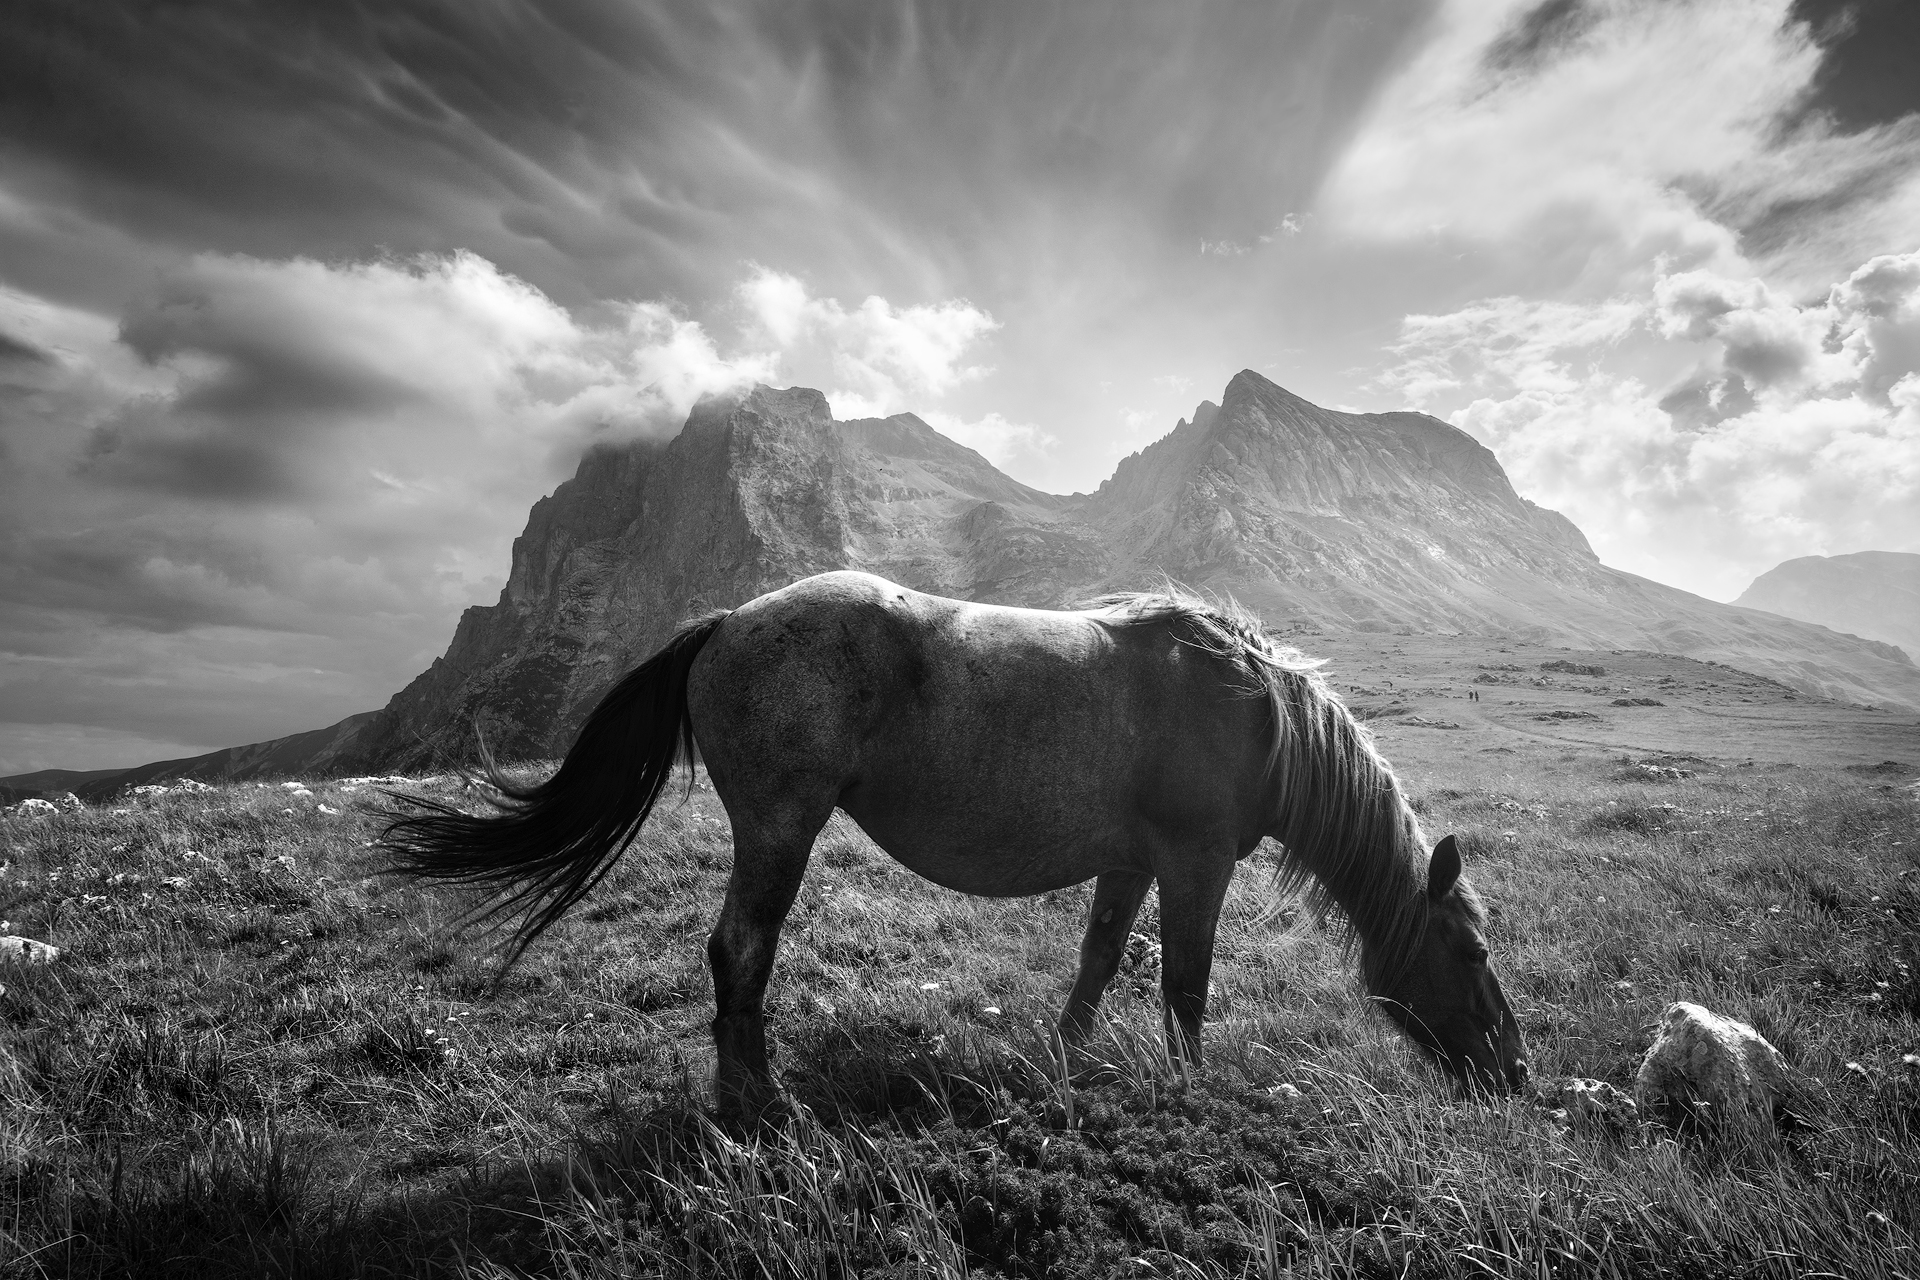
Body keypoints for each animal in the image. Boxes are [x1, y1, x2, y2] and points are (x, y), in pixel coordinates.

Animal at [383, 570, 1528, 1113]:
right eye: (1470, 951)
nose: (1516, 1072)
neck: (1253, 714)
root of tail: (727, 621)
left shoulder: (1130, 862)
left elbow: (1099, 961)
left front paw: (1066, 1063)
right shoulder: (1194, 866)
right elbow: (1186, 986)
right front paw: (1189, 1090)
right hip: (780, 831)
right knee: (740, 952)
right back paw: (761, 1106)